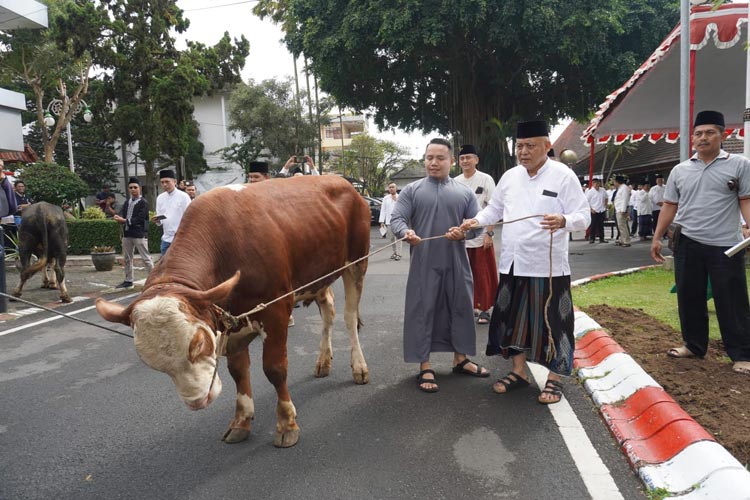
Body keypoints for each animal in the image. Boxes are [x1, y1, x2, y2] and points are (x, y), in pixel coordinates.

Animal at [95, 177, 372, 450]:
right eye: (151, 362)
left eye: (199, 343)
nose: (197, 401)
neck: (225, 248)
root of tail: (343, 182)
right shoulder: (232, 320)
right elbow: (238, 371)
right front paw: (241, 421)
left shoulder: (276, 309)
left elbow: (275, 369)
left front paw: (286, 424)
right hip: (319, 275)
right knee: (328, 310)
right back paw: (323, 361)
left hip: (357, 262)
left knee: (349, 317)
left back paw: (359, 367)